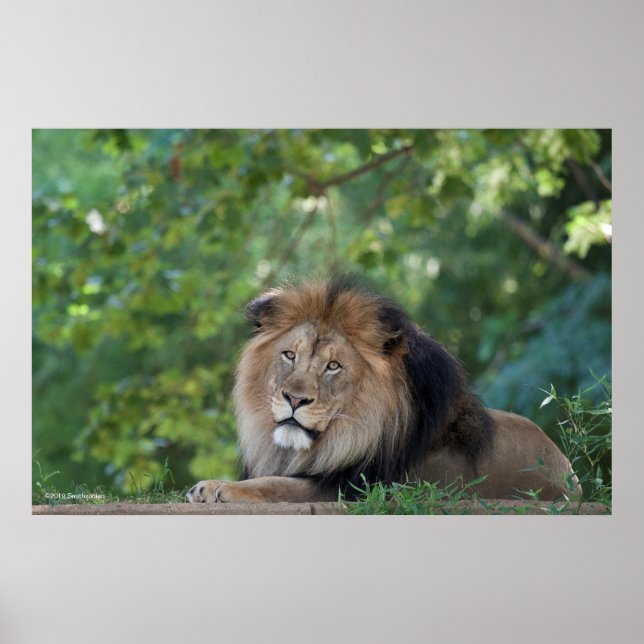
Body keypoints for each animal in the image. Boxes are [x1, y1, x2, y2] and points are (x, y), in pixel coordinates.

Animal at [187, 276, 580, 505]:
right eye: (289, 355)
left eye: (333, 366)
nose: (294, 399)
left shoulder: (354, 488)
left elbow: (278, 485)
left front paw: (216, 488)